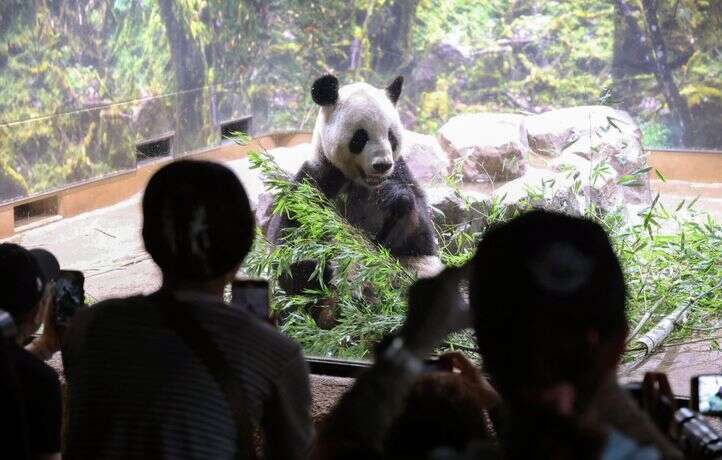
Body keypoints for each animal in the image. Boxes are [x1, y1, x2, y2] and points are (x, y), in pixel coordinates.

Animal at [268, 74, 442, 298]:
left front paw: (394, 197)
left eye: (391, 136)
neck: (363, 182)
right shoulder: (319, 178)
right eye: (360, 137)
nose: (382, 164)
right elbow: (291, 237)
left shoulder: (401, 173)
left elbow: (420, 240)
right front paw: (310, 268)